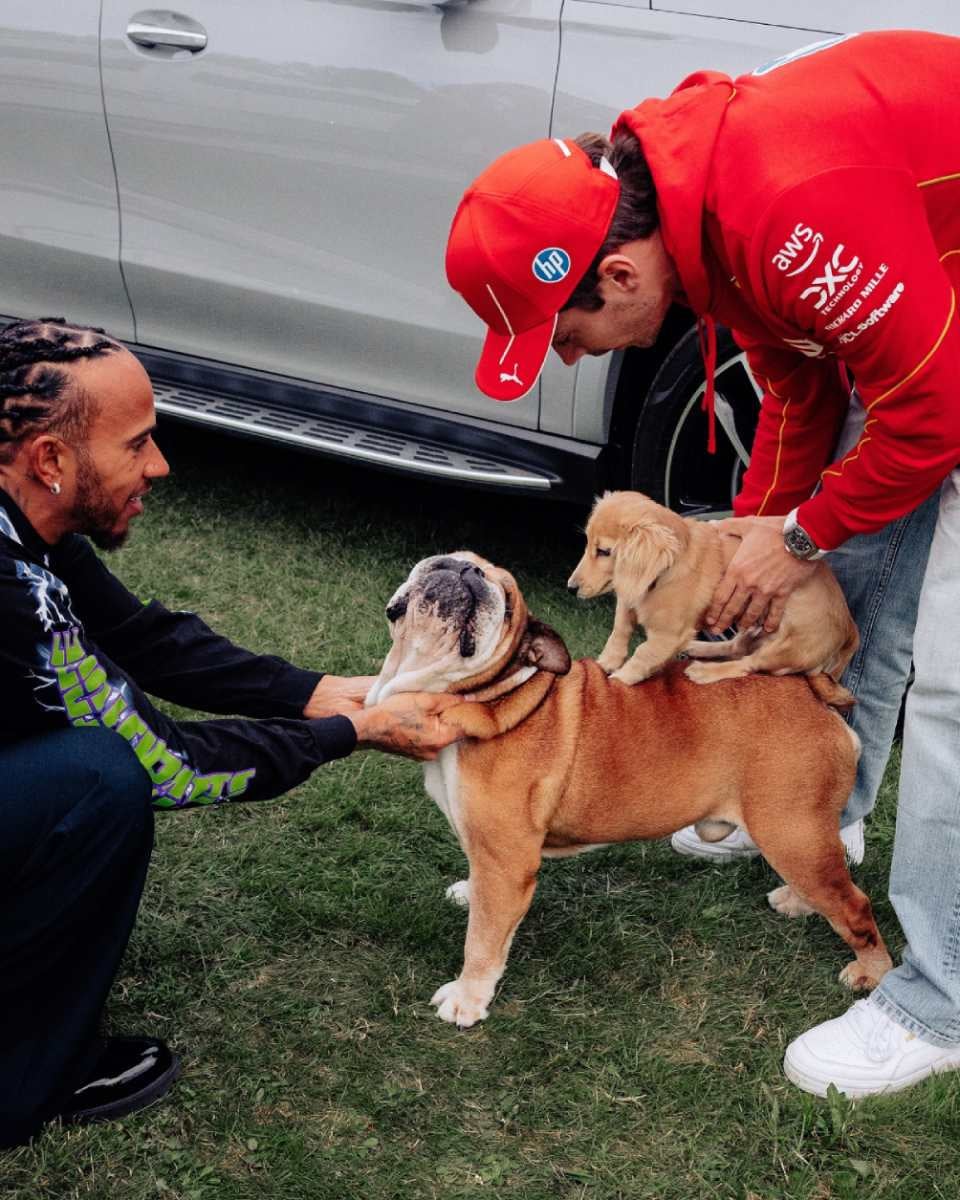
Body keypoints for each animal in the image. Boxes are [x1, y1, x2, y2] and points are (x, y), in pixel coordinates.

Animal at [566, 487, 859, 691]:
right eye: (587, 543)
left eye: (604, 552)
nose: (570, 588)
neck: (664, 575)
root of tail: (848, 625)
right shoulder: (629, 598)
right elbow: (620, 628)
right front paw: (606, 661)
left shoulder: (667, 637)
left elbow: (641, 655)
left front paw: (617, 680)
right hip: (752, 625)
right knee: (736, 647)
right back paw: (698, 648)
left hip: (787, 649)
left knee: (747, 664)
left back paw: (704, 672)